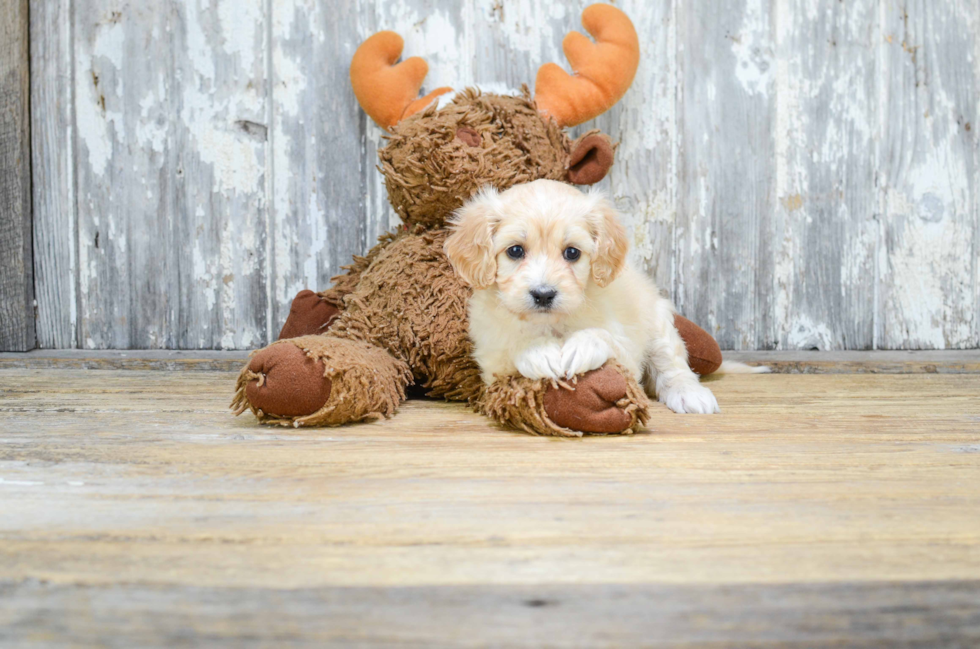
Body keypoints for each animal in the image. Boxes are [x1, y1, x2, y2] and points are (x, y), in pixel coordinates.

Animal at [448, 180, 740, 412]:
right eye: (516, 251)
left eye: (572, 253)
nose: (543, 295)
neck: (550, 323)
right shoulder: (491, 356)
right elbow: (513, 345)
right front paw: (538, 350)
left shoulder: (627, 350)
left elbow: (605, 337)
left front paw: (581, 346)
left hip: (658, 322)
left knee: (673, 364)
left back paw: (690, 394)